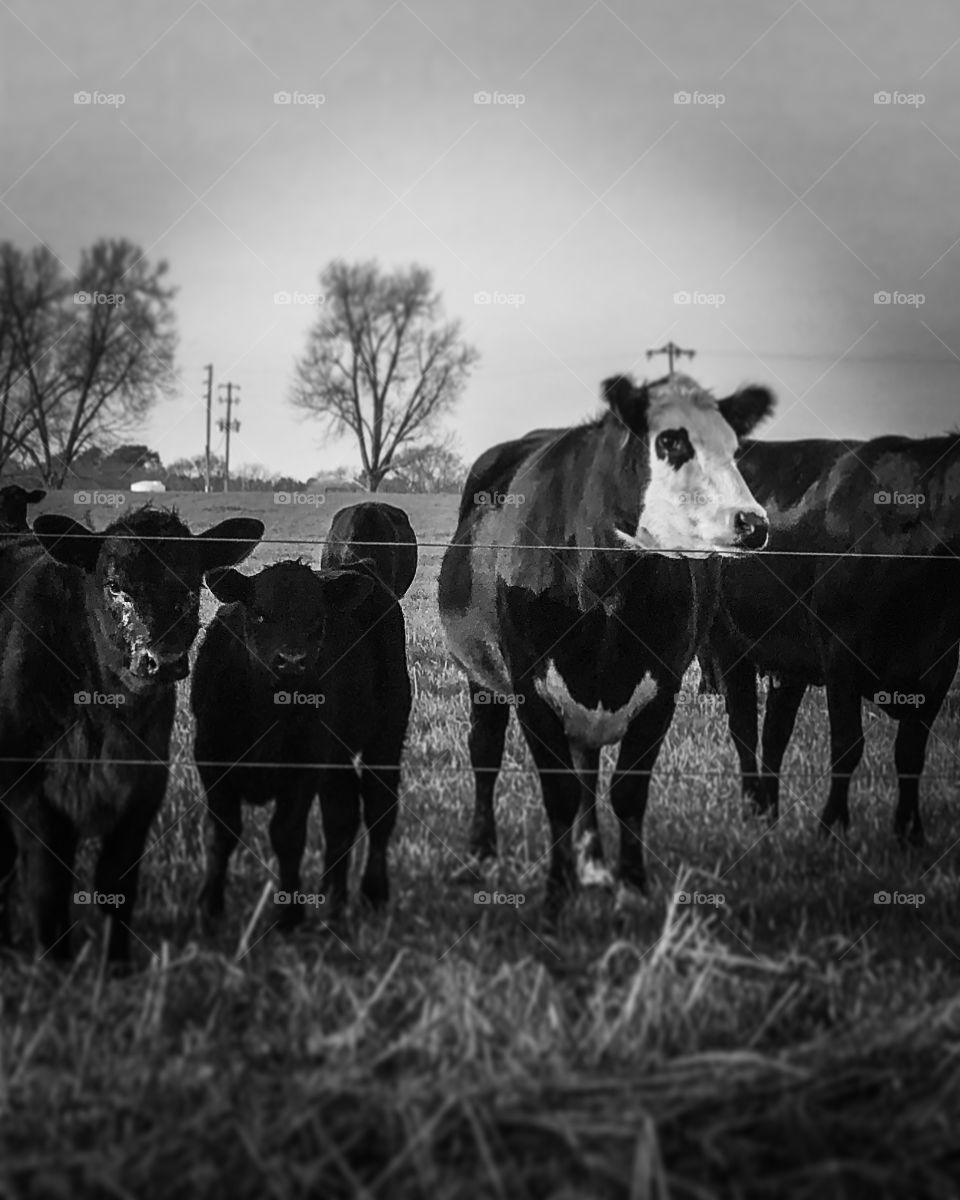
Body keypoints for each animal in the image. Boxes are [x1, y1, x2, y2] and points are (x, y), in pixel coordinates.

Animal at [0, 507, 264, 961]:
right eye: (114, 586)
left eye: (190, 586)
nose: (164, 659)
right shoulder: (29, 791)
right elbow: (47, 886)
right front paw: (55, 966)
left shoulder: (143, 787)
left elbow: (117, 884)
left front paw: (118, 965)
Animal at [191, 549, 412, 928]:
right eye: (259, 614)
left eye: (318, 618)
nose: (292, 661)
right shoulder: (209, 754)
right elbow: (220, 832)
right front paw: (209, 909)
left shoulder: (305, 760)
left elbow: (287, 834)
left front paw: (289, 914)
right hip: (337, 752)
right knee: (342, 813)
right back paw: (333, 899)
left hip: (388, 731)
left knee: (378, 806)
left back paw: (373, 893)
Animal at [438, 372, 775, 914]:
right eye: (670, 441)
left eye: (734, 446)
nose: (752, 522)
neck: (609, 593)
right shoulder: (532, 688)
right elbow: (557, 794)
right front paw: (557, 894)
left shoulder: (662, 689)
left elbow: (626, 793)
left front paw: (632, 885)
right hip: (483, 679)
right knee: (485, 754)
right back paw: (481, 852)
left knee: (587, 771)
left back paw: (592, 862)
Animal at [702, 433, 960, 845]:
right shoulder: (841, 652)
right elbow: (847, 745)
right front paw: (831, 828)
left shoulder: (941, 663)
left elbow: (910, 753)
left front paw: (910, 835)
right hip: (728, 642)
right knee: (744, 730)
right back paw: (753, 810)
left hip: (788, 661)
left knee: (775, 735)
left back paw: (770, 814)